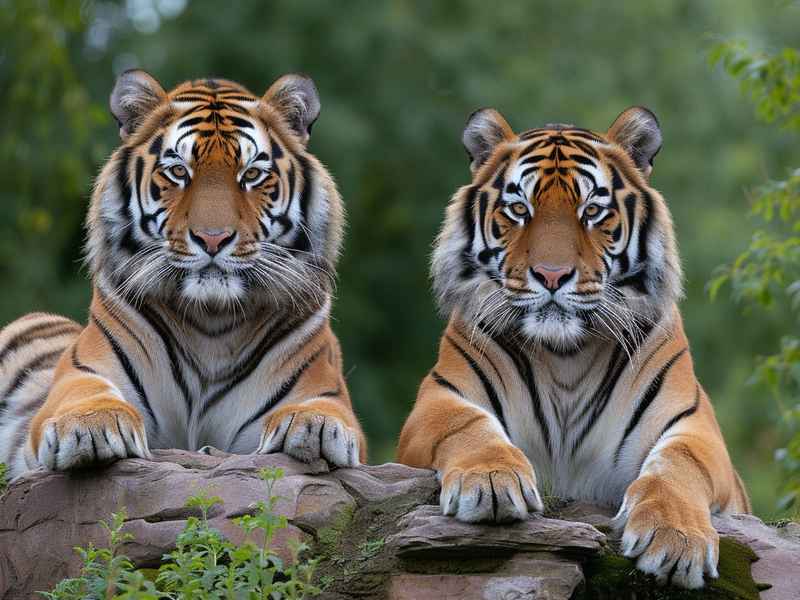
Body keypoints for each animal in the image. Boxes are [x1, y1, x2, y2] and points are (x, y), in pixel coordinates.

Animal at [0, 70, 365, 480]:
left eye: (252, 174)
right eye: (178, 171)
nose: (213, 238)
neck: (212, 323)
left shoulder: (325, 389)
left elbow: (323, 408)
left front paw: (313, 425)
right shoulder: (84, 371)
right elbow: (85, 392)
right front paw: (91, 425)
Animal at [396, 106, 750, 589]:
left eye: (593, 211)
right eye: (519, 209)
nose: (551, 274)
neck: (565, 356)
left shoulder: (693, 426)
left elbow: (678, 464)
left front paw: (677, 541)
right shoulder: (438, 399)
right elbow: (464, 425)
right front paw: (489, 480)